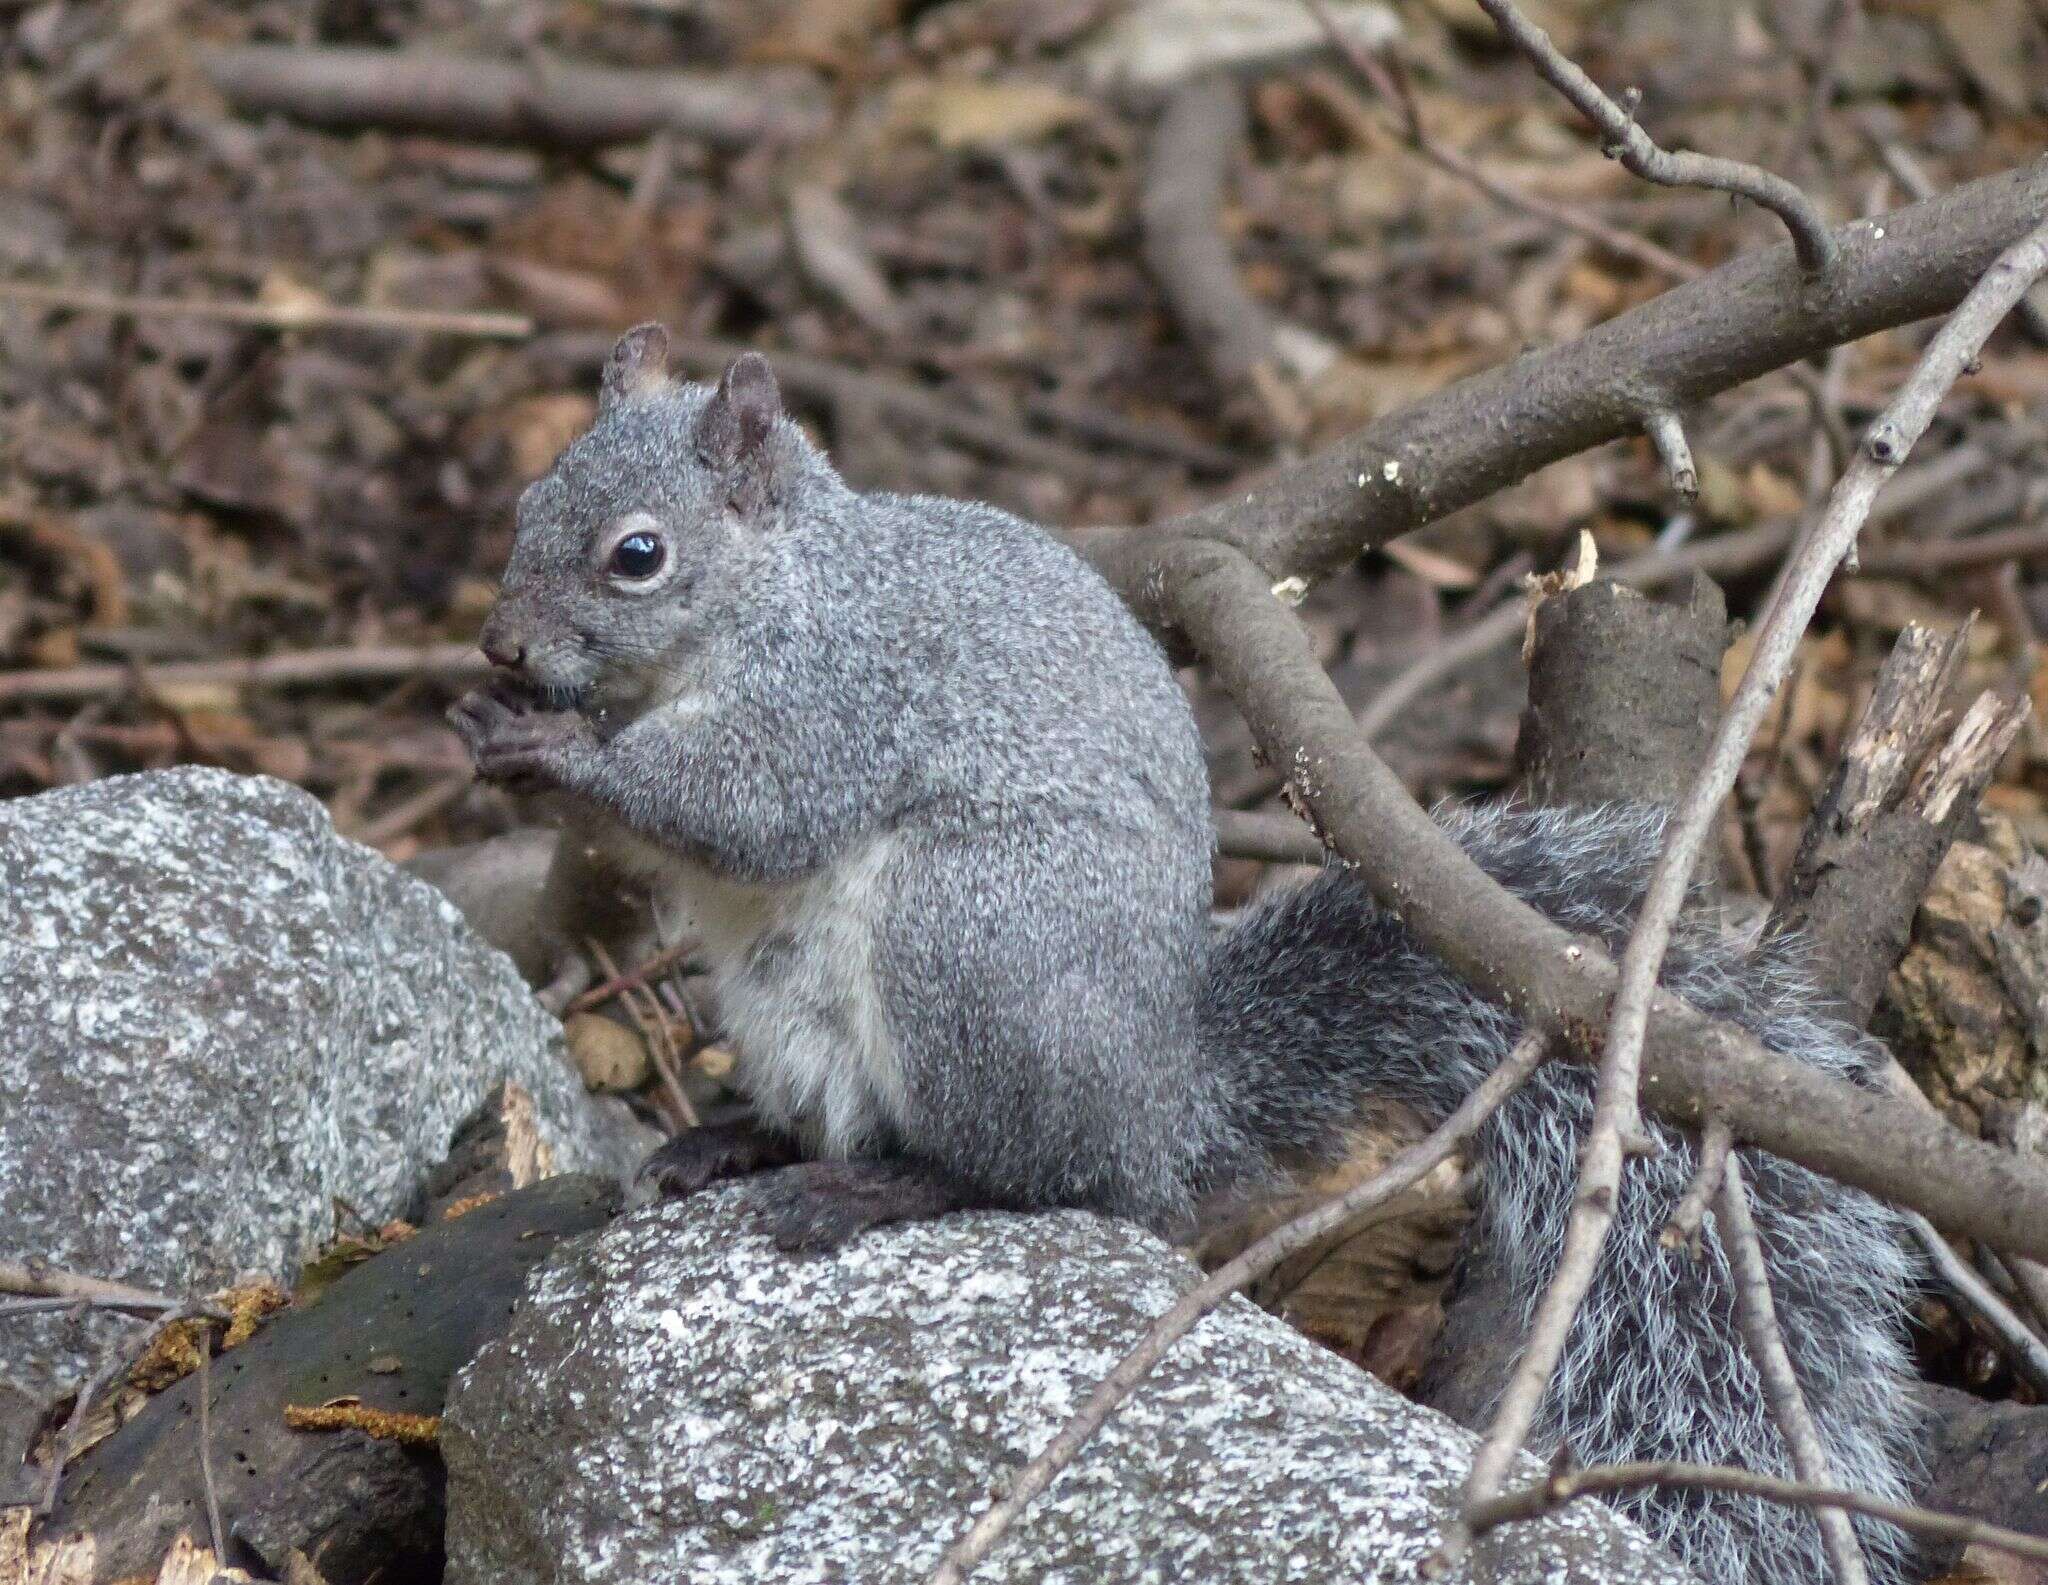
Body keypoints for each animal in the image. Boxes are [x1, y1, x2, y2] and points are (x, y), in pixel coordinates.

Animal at [448, 325, 1916, 1585]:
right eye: (524, 503)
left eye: (637, 555)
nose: (499, 642)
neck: (772, 594)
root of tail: (1158, 1099)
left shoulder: (840, 695)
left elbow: (752, 805)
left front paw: (554, 747)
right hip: (784, 1000)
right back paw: (739, 1143)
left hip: (972, 943)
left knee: (1045, 1174)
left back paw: (890, 1186)